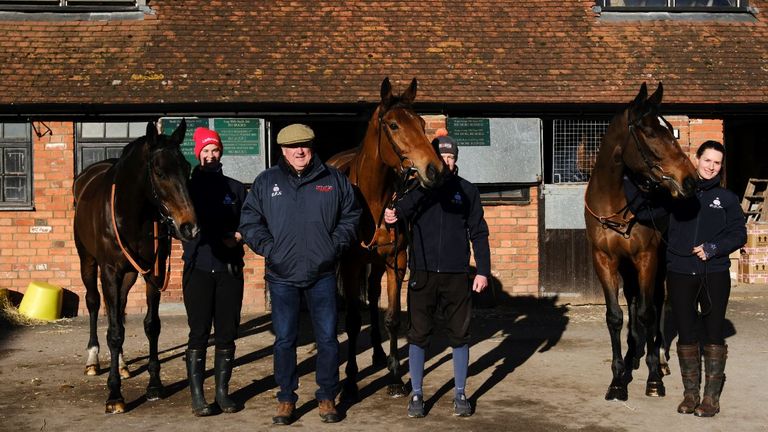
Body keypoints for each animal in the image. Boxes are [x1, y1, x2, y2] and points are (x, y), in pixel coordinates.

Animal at [72, 120, 200, 414]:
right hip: (88, 261)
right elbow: (114, 332)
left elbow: (150, 325)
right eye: (160, 172)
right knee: (94, 302)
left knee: (118, 309)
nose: (189, 227)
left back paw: (122, 364)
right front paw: (114, 395)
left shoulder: (154, 272)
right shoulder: (109, 271)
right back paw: (93, 359)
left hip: (130, 274)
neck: (130, 214)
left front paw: (154, 385)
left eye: (187, 168)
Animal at [328, 77, 448, 398]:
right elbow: (353, 321)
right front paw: (350, 382)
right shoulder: (351, 265)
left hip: (379, 262)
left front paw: (395, 376)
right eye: (393, 125)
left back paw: (379, 355)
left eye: (421, 122)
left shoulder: (397, 260)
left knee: (372, 294)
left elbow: (393, 318)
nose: (435, 170)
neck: (371, 200)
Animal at [584, 82, 700, 400]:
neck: (615, 204)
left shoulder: (647, 258)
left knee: (657, 304)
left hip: (659, 265)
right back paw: (632, 355)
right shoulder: (604, 260)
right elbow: (615, 316)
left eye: (670, 128)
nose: (691, 180)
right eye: (649, 132)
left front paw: (653, 378)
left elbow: (648, 313)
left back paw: (659, 359)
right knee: (635, 301)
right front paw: (617, 379)